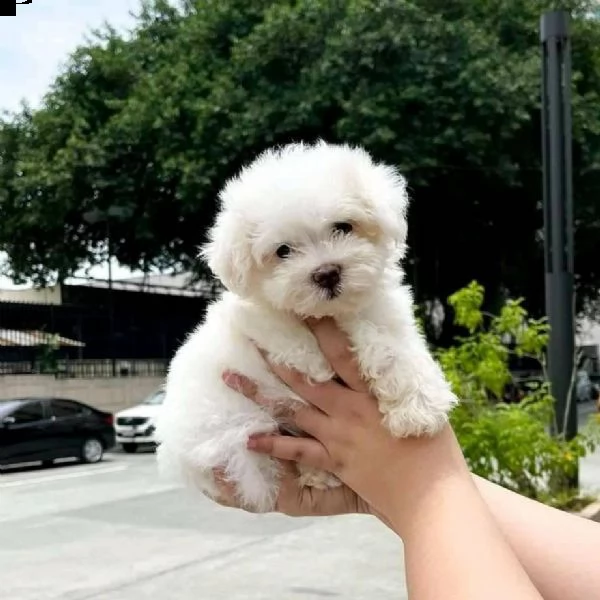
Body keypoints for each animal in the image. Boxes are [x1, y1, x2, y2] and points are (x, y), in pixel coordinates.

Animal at [156, 139, 460, 510]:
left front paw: (421, 408)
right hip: (236, 432)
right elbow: (369, 342)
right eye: (283, 251)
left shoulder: (386, 313)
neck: (329, 313)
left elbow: (400, 345)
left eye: (342, 227)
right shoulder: (273, 330)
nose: (326, 273)